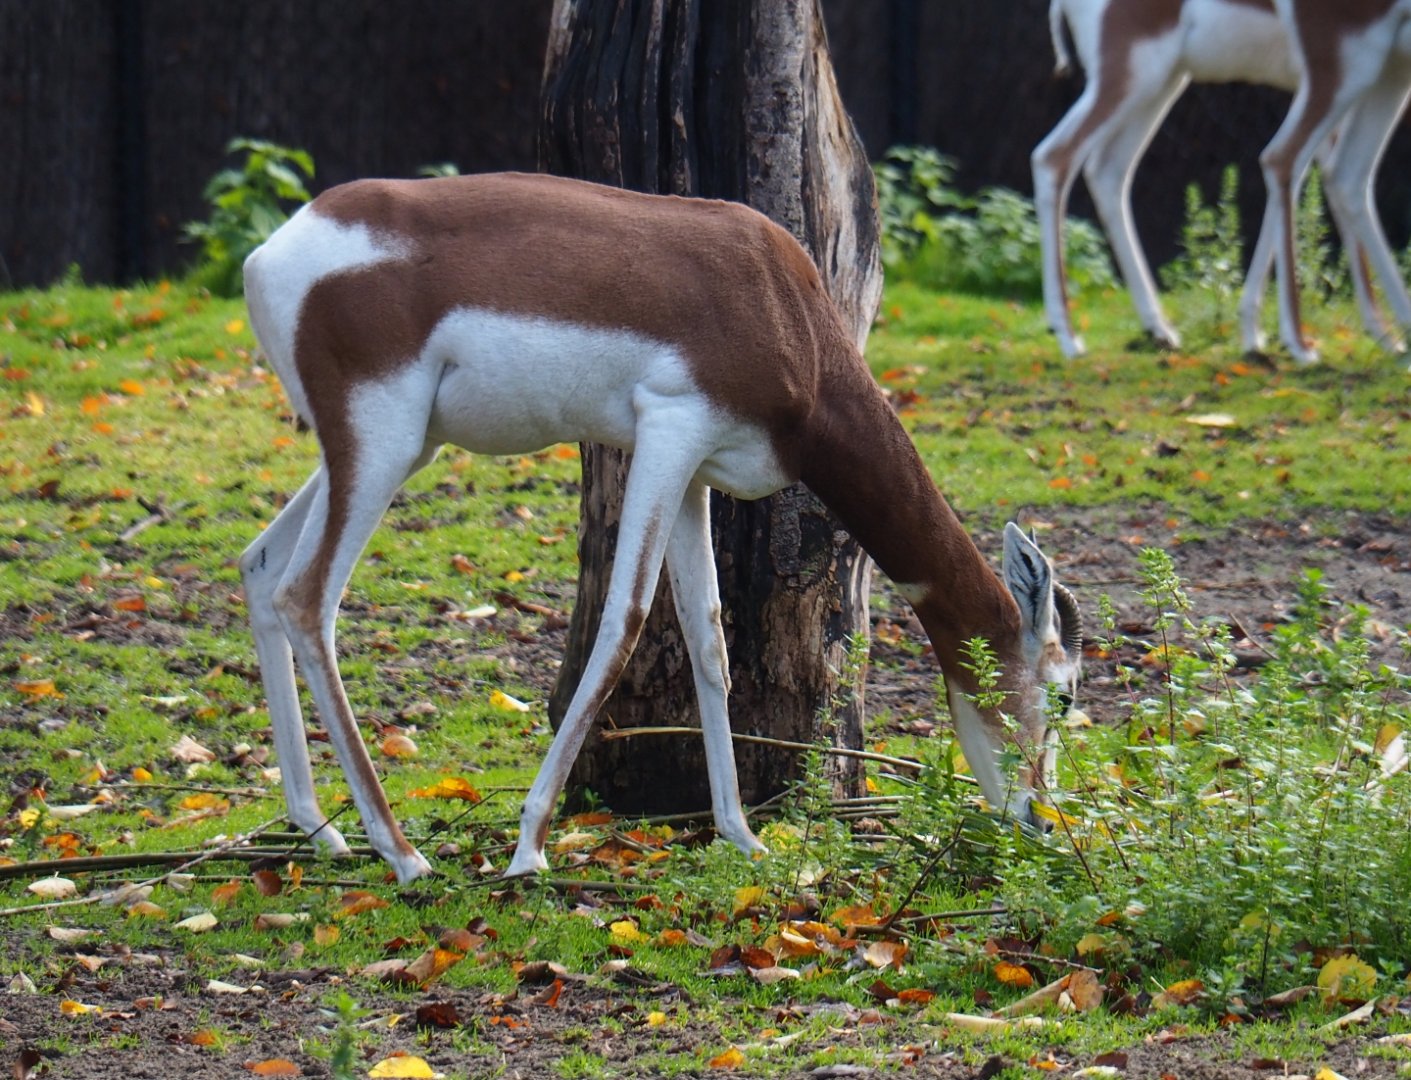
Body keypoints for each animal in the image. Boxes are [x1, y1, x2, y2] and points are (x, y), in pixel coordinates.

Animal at [239, 172, 1083, 883]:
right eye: (1065, 693)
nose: (1043, 820)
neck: (790, 318)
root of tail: (269, 253)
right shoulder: (669, 429)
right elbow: (625, 621)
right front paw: (529, 847)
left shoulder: (695, 472)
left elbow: (709, 636)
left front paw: (740, 834)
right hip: (381, 441)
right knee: (306, 598)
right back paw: (403, 854)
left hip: (391, 447)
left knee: (258, 563)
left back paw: (321, 829)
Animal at [1034, 0, 1411, 363]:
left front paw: (1253, 333)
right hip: (1136, 75)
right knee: (1053, 157)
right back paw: (1069, 338)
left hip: (1163, 82)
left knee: (1107, 170)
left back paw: (1159, 330)